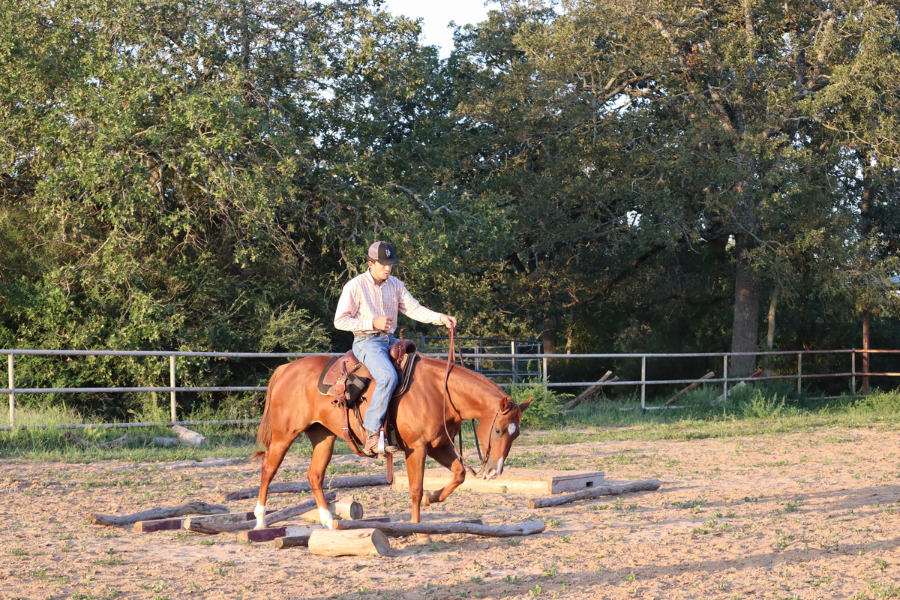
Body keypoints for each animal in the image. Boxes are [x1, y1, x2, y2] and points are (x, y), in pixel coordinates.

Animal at [248, 352, 528, 528]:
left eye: (516, 434)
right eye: (499, 431)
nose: (494, 471)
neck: (439, 393)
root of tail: (286, 368)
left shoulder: (439, 446)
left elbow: (459, 475)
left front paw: (432, 498)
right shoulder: (417, 448)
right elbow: (415, 488)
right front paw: (417, 525)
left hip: (323, 436)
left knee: (314, 475)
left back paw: (328, 520)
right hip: (284, 435)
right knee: (268, 469)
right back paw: (261, 521)